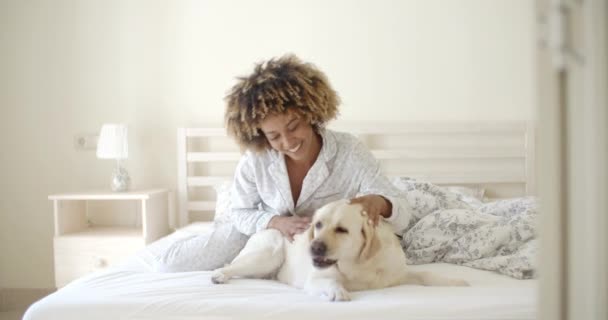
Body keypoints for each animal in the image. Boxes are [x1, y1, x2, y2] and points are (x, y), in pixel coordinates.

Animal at [211, 199, 468, 302]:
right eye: (317, 225)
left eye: (342, 230)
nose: (313, 247)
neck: (361, 265)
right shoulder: (316, 279)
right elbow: (331, 282)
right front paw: (337, 291)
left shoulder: (398, 273)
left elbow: (427, 274)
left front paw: (454, 282)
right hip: (267, 253)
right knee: (231, 265)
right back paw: (218, 275)